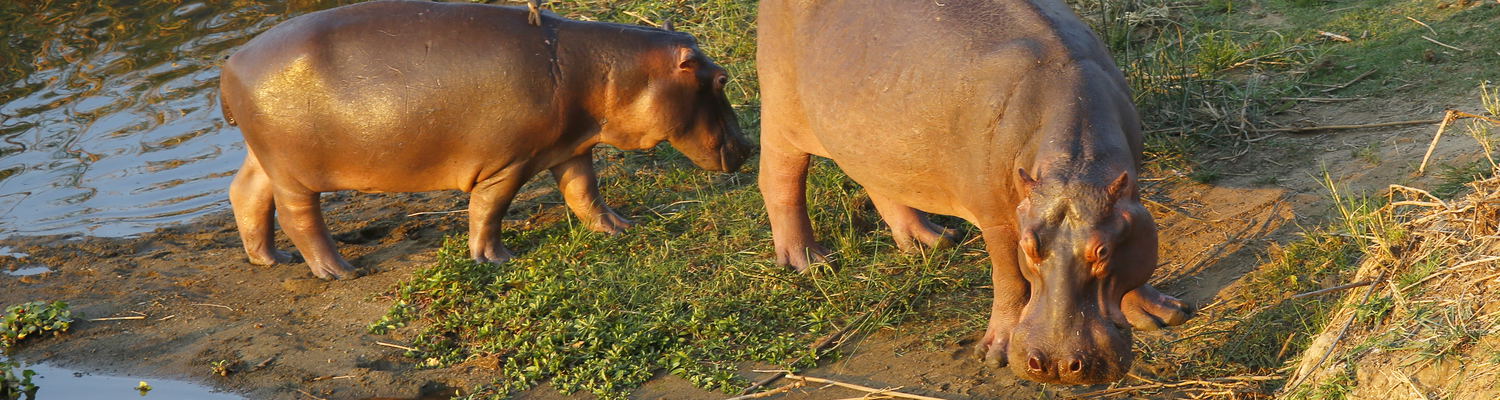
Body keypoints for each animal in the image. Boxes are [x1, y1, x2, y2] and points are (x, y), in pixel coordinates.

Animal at [219, 0, 751, 280]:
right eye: (721, 79)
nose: (750, 147)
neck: (611, 70)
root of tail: (230, 62)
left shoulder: (572, 148)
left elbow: (584, 194)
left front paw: (619, 227)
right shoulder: (508, 163)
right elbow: (488, 211)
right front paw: (495, 259)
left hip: (263, 158)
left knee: (245, 194)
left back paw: (270, 259)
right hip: (293, 171)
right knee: (299, 217)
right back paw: (340, 270)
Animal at [757, 0, 1192, 384]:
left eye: (1102, 252)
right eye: (1029, 247)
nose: (1055, 365)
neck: (1076, 165)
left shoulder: (1124, 199)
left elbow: (1135, 267)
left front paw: (1164, 314)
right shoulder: (998, 217)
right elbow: (1009, 278)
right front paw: (995, 352)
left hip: (873, 138)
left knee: (882, 183)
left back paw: (930, 241)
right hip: (782, 113)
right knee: (780, 180)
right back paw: (810, 261)